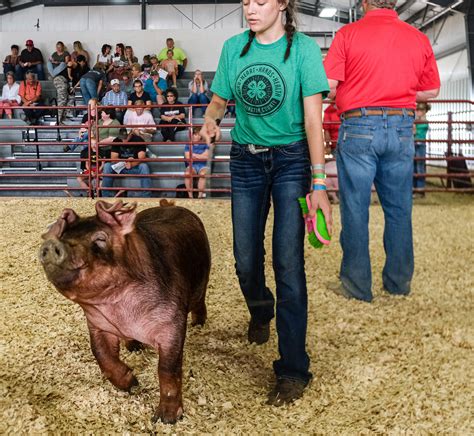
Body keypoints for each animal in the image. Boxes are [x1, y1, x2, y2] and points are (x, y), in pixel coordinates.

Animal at [39, 200, 210, 422]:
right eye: (62, 236)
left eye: (100, 238)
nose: (52, 245)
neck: (120, 313)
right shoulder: (97, 324)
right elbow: (101, 354)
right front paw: (132, 384)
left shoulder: (171, 324)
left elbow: (167, 369)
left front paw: (166, 419)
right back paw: (134, 347)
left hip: (201, 282)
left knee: (200, 301)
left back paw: (199, 324)